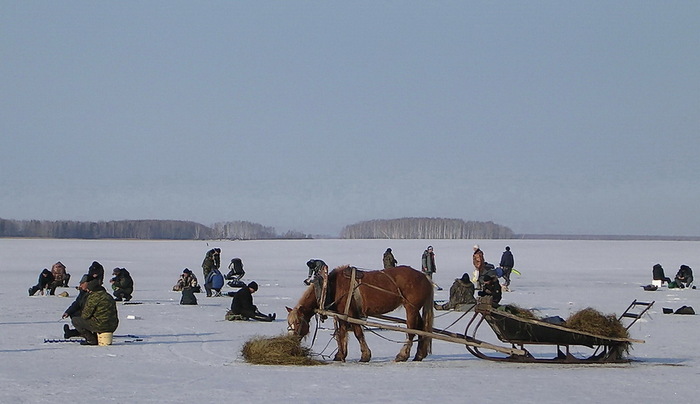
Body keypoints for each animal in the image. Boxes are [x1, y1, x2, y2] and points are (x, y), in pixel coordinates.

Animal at [284, 266, 432, 362]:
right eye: (289, 323)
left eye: (298, 322)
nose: (290, 341)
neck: (330, 286)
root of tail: (424, 277)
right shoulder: (342, 314)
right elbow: (342, 333)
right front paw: (340, 355)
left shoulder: (351, 313)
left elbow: (358, 333)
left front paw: (365, 355)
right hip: (415, 309)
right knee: (421, 328)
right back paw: (419, 355)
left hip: (411, 308)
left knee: (411, 331)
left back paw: (403, 355)